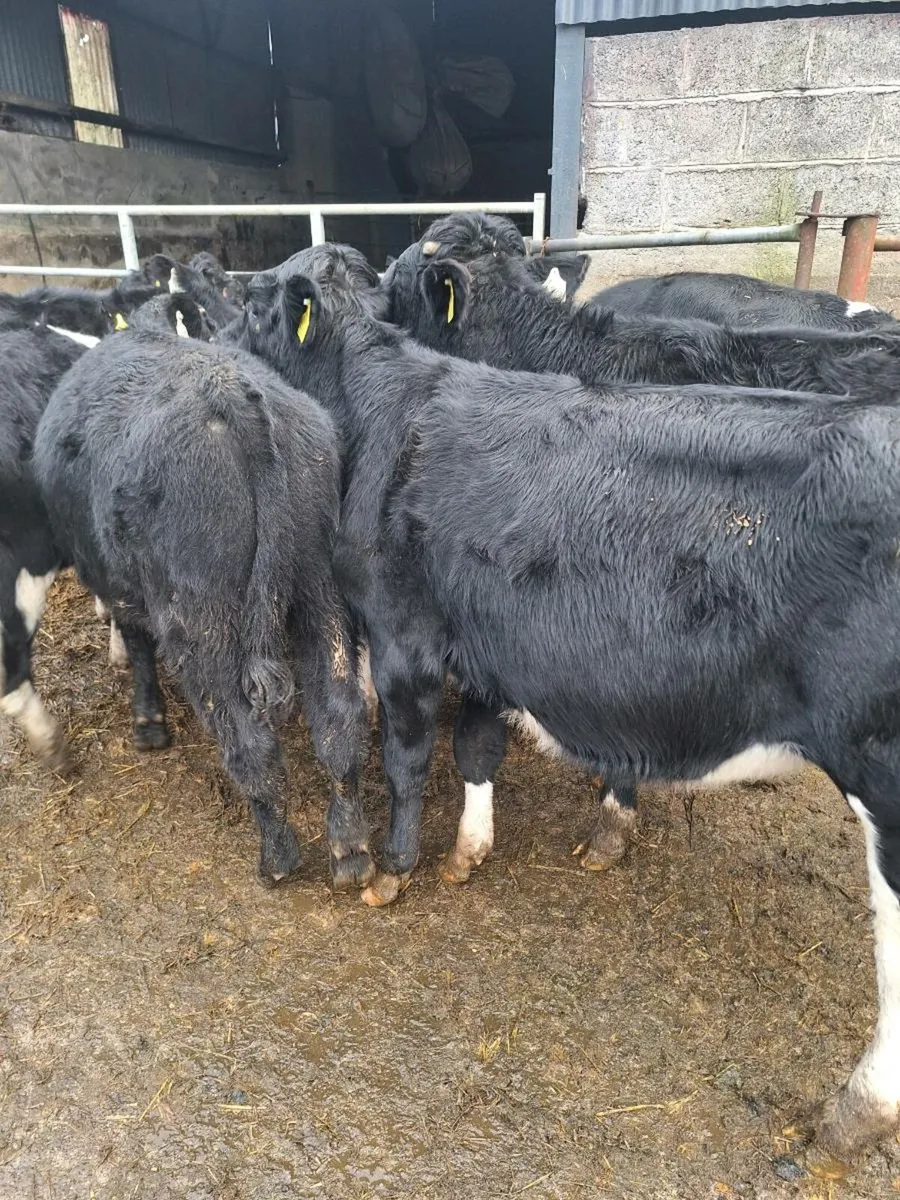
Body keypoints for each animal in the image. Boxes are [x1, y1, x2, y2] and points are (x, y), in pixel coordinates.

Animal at [32, 297, 371, 889]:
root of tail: (229, 394)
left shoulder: (116, 583)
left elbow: (137, 645)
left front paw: (148, 724)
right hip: (321, 593)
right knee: (338, 722)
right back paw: (351, 851)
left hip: (202, 619)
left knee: (248, 743)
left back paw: (276, 859)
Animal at [231, 241, 900, 1160]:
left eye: (258, 303)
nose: (218, 338)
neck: (383, 410)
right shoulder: (486, 643)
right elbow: (476, 747)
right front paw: (467, 850)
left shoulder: (405, 633)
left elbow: (405, 754)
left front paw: (393, 870)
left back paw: (854, 1112)